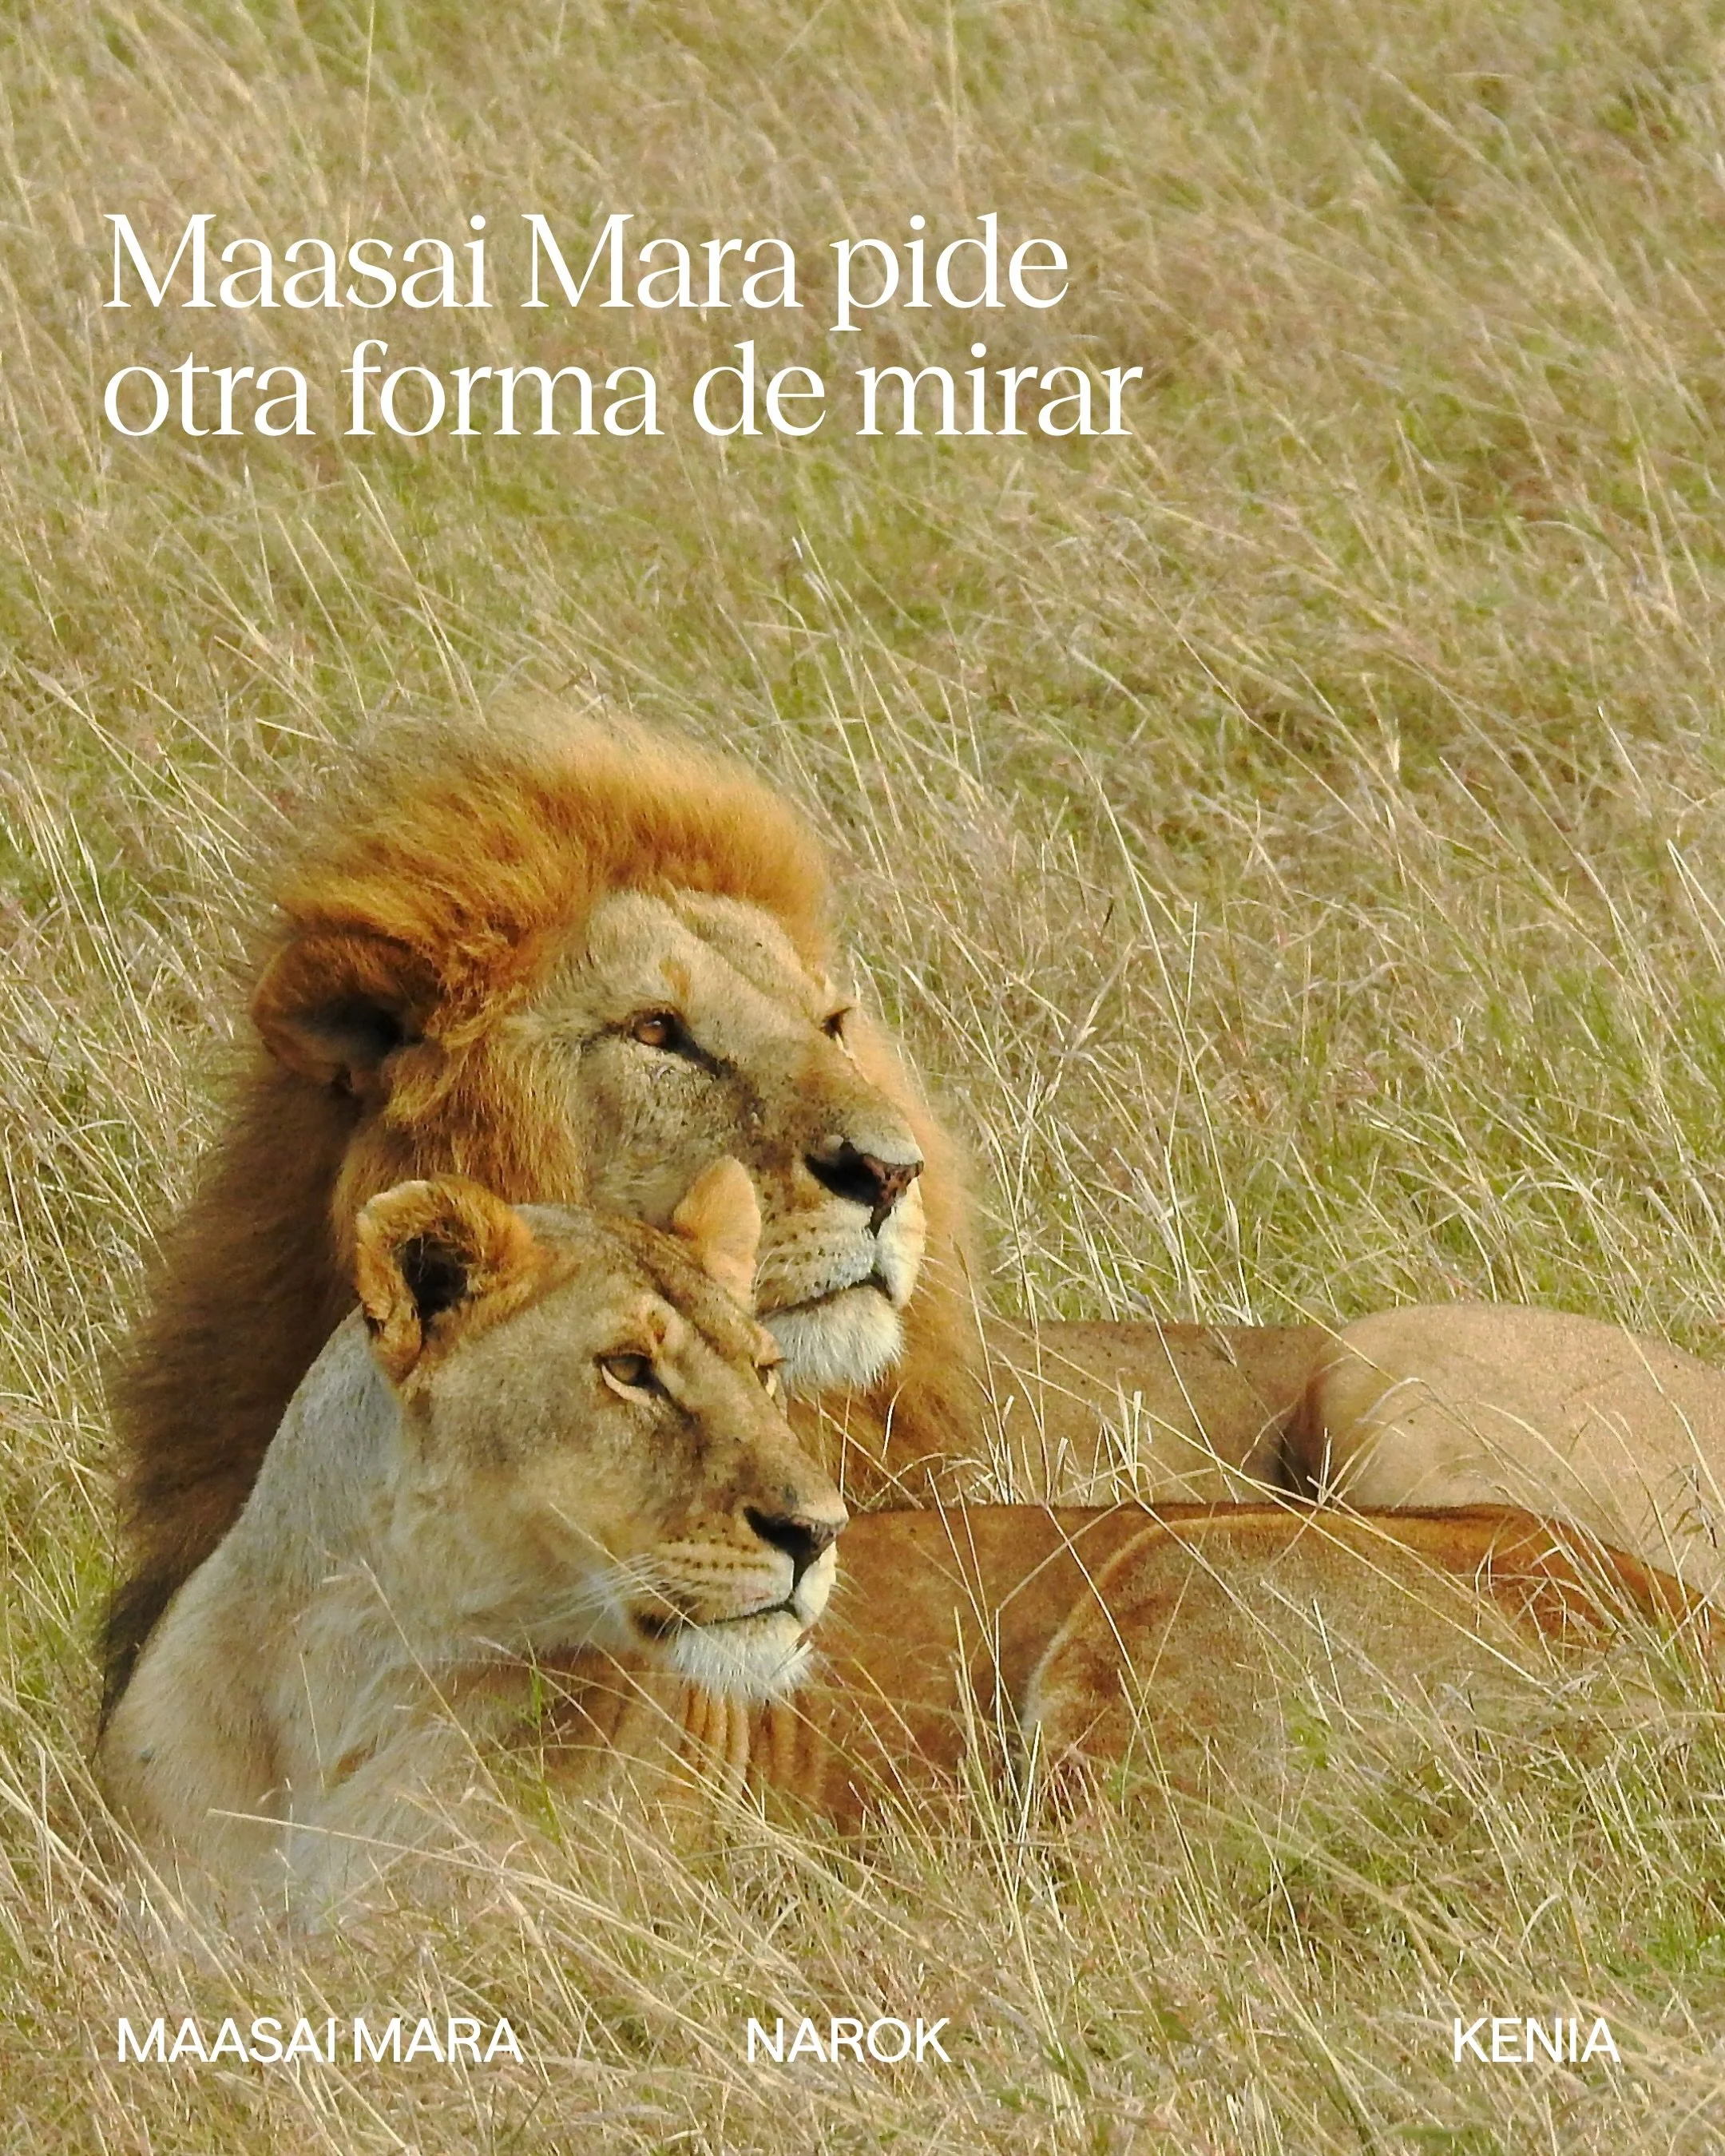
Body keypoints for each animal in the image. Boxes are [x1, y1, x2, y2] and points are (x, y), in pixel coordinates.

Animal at [103, 1167, 1698, 1916]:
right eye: (627, 1371)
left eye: (764, 1368)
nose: (816, 1532)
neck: (341, 1665)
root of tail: (1684, 1620)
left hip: (1192, 1556)